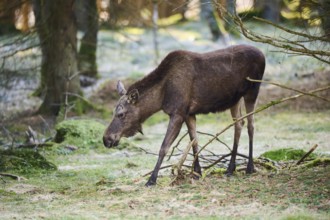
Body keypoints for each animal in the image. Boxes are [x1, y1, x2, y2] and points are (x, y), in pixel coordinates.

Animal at [103, 44, 266, 186]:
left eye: (121, 114)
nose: (106, 139)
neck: (161, 97)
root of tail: (263, 54)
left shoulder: (178, 113)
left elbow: (164, 147)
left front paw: (151, 180)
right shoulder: (189, 113)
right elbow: (194, 141)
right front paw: (197, 172)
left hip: (253, 90)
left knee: (251, 125)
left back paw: (250, 167)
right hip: (234, 99)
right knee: (239, 124)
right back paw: (230, 168)